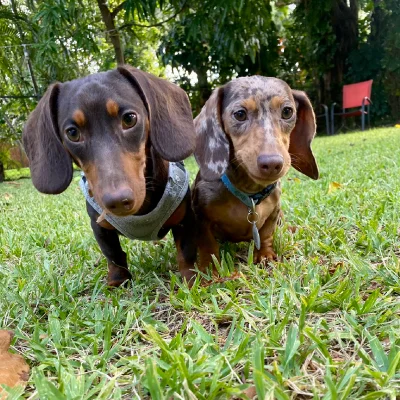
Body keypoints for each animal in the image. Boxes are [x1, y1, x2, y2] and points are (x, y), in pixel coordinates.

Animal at [22, 65, 198, 286]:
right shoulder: (99, 226)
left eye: (129, 119)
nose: (118, 201)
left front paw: (191, 281)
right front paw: (117, 282)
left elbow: (186, 252)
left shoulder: (186, 218)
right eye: (72, 133)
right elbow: (113, 255)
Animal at [192, 76, 320, 272]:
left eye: (287, 111)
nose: (272, 163)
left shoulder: (274, 211)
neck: (249, 192)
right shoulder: (200, 217)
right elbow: (208, 244)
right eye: (239, 114)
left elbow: (266, 234)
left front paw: (265, 255)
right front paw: (210, 268)